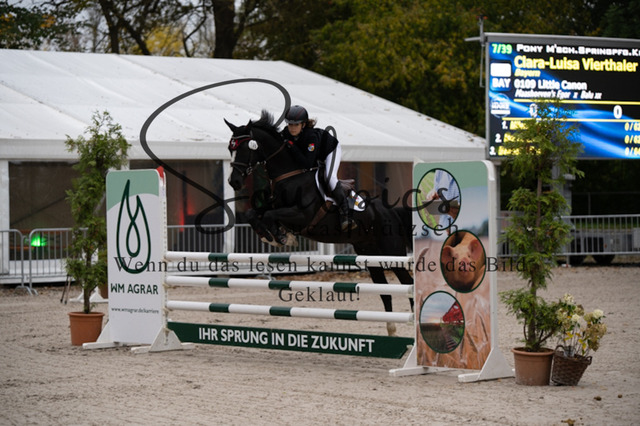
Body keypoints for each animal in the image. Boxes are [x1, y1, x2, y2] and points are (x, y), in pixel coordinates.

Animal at [225, 110, 413, 335]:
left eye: (246, 148)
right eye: (230, 148)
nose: (234, 182)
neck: (289, 176)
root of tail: (390, 211)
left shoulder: (301, 216)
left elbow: (270, 216)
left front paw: (279, 237)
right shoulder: (272, 207)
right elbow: (254, 213)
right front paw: (274, 236)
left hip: (392, 252)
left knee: (408, 283)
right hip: (370, 254)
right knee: (384, 290)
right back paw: (392, 329)